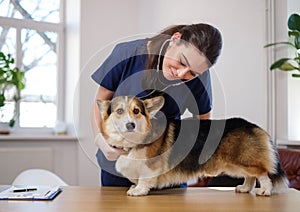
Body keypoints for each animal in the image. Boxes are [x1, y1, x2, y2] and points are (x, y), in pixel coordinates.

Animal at [97, 95, 290, 196]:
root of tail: (254, 126)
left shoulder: (150, 167)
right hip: (235, 164)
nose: (131, 125)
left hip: (243, 160)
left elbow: (145, 180)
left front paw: (137, 191)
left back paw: (265, 191)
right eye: (119, 111)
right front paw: (134, 187)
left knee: (262, 173)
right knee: (250, 176)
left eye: (136, 111)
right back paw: (244, 189)